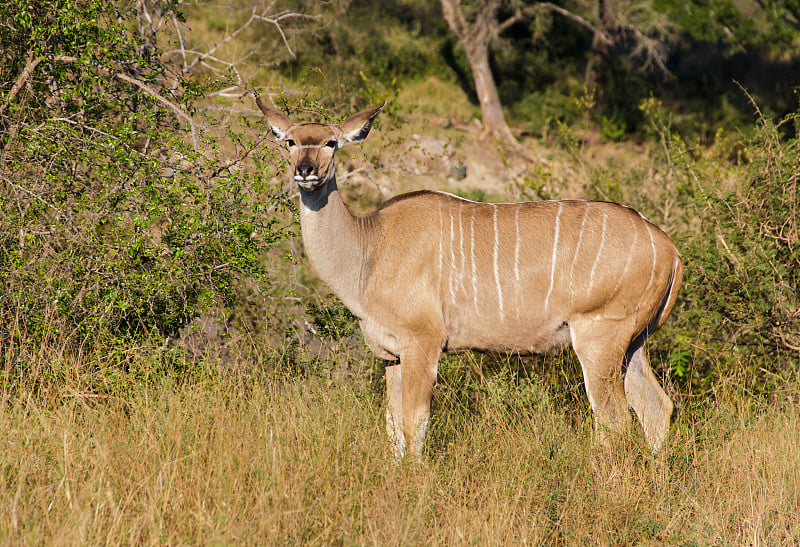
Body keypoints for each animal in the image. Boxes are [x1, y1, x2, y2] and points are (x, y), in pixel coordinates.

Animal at [260, 99, 684, 462]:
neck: (371, 246)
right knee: (657, 407)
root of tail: (669, 249)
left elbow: (415, 425)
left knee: (613, 418)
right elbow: (394, 428)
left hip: (599, 338)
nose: (305, 171)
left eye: (331, 142)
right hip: (632, 344)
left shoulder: (423, 344)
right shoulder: (393, 355)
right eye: (290, 141)